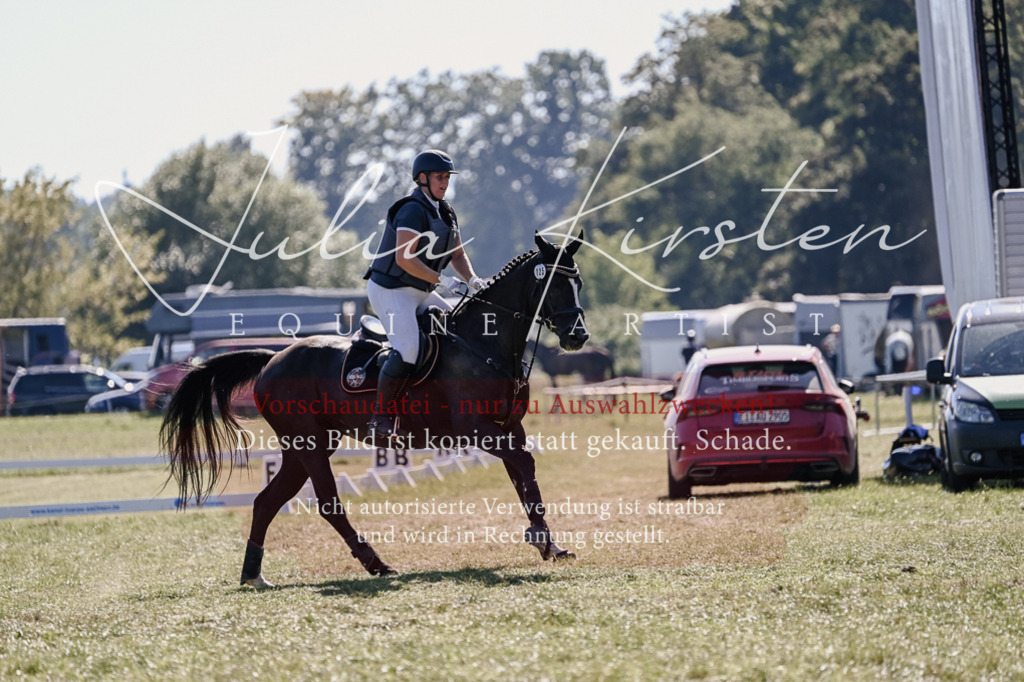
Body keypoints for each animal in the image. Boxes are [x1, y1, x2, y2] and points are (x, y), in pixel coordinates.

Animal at [161, 232, 589, 587]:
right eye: (554, 284)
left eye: (579, 283)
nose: (578, 336)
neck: (484, 344)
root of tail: (272, 357)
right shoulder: (477, 428)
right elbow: (525, 464)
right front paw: (541, 537)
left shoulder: (508, 426)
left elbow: (522, 475)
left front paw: (547, 542)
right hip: (309, 443)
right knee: (328, 504)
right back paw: (375, 563)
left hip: (306, 446)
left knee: (266, 501)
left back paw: (253, 574)